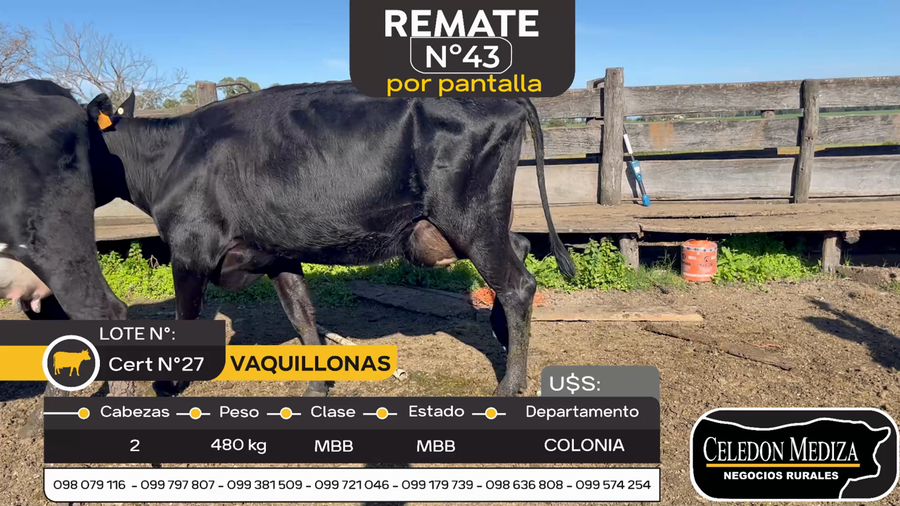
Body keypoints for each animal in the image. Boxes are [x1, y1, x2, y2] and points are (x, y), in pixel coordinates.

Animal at [95, 82, 575, 397]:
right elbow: (302, 315)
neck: (168, 159)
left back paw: (510, 385)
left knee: (517, 284)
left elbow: (185, 317)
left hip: (468, 217)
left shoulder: (191, 249)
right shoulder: (275, 253)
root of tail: (505, 96)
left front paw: (169, 383)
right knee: (520, 248)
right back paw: (502, 336)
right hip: (464, 225)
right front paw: (317, 386)